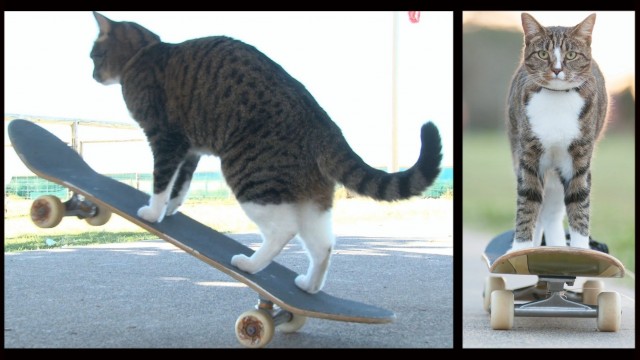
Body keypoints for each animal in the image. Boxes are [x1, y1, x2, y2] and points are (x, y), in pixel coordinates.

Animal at [90, 11, 442, 292]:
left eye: (94, 55)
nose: (92, 75)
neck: (145, 54)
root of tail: (322, 123)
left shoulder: (166, 139)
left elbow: (163, 180)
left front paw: (153, 212)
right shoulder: (190, 150)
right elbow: (181, 185)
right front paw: (172, 210)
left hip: (247, 174)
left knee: (284, 230)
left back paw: (249, 264)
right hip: (313, 201)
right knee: (324, 245)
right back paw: (309, 286)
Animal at [508, 13, 608, 250]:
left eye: (571, 55)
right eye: (543, 54)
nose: (556, 69)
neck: (557, 97)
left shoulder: (579, 158)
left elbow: (579, 201)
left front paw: (580, 250)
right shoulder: (529, 156)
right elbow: (528, 202)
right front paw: (521, 248)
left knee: (552, 213)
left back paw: (558, 246)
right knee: (542, 209)